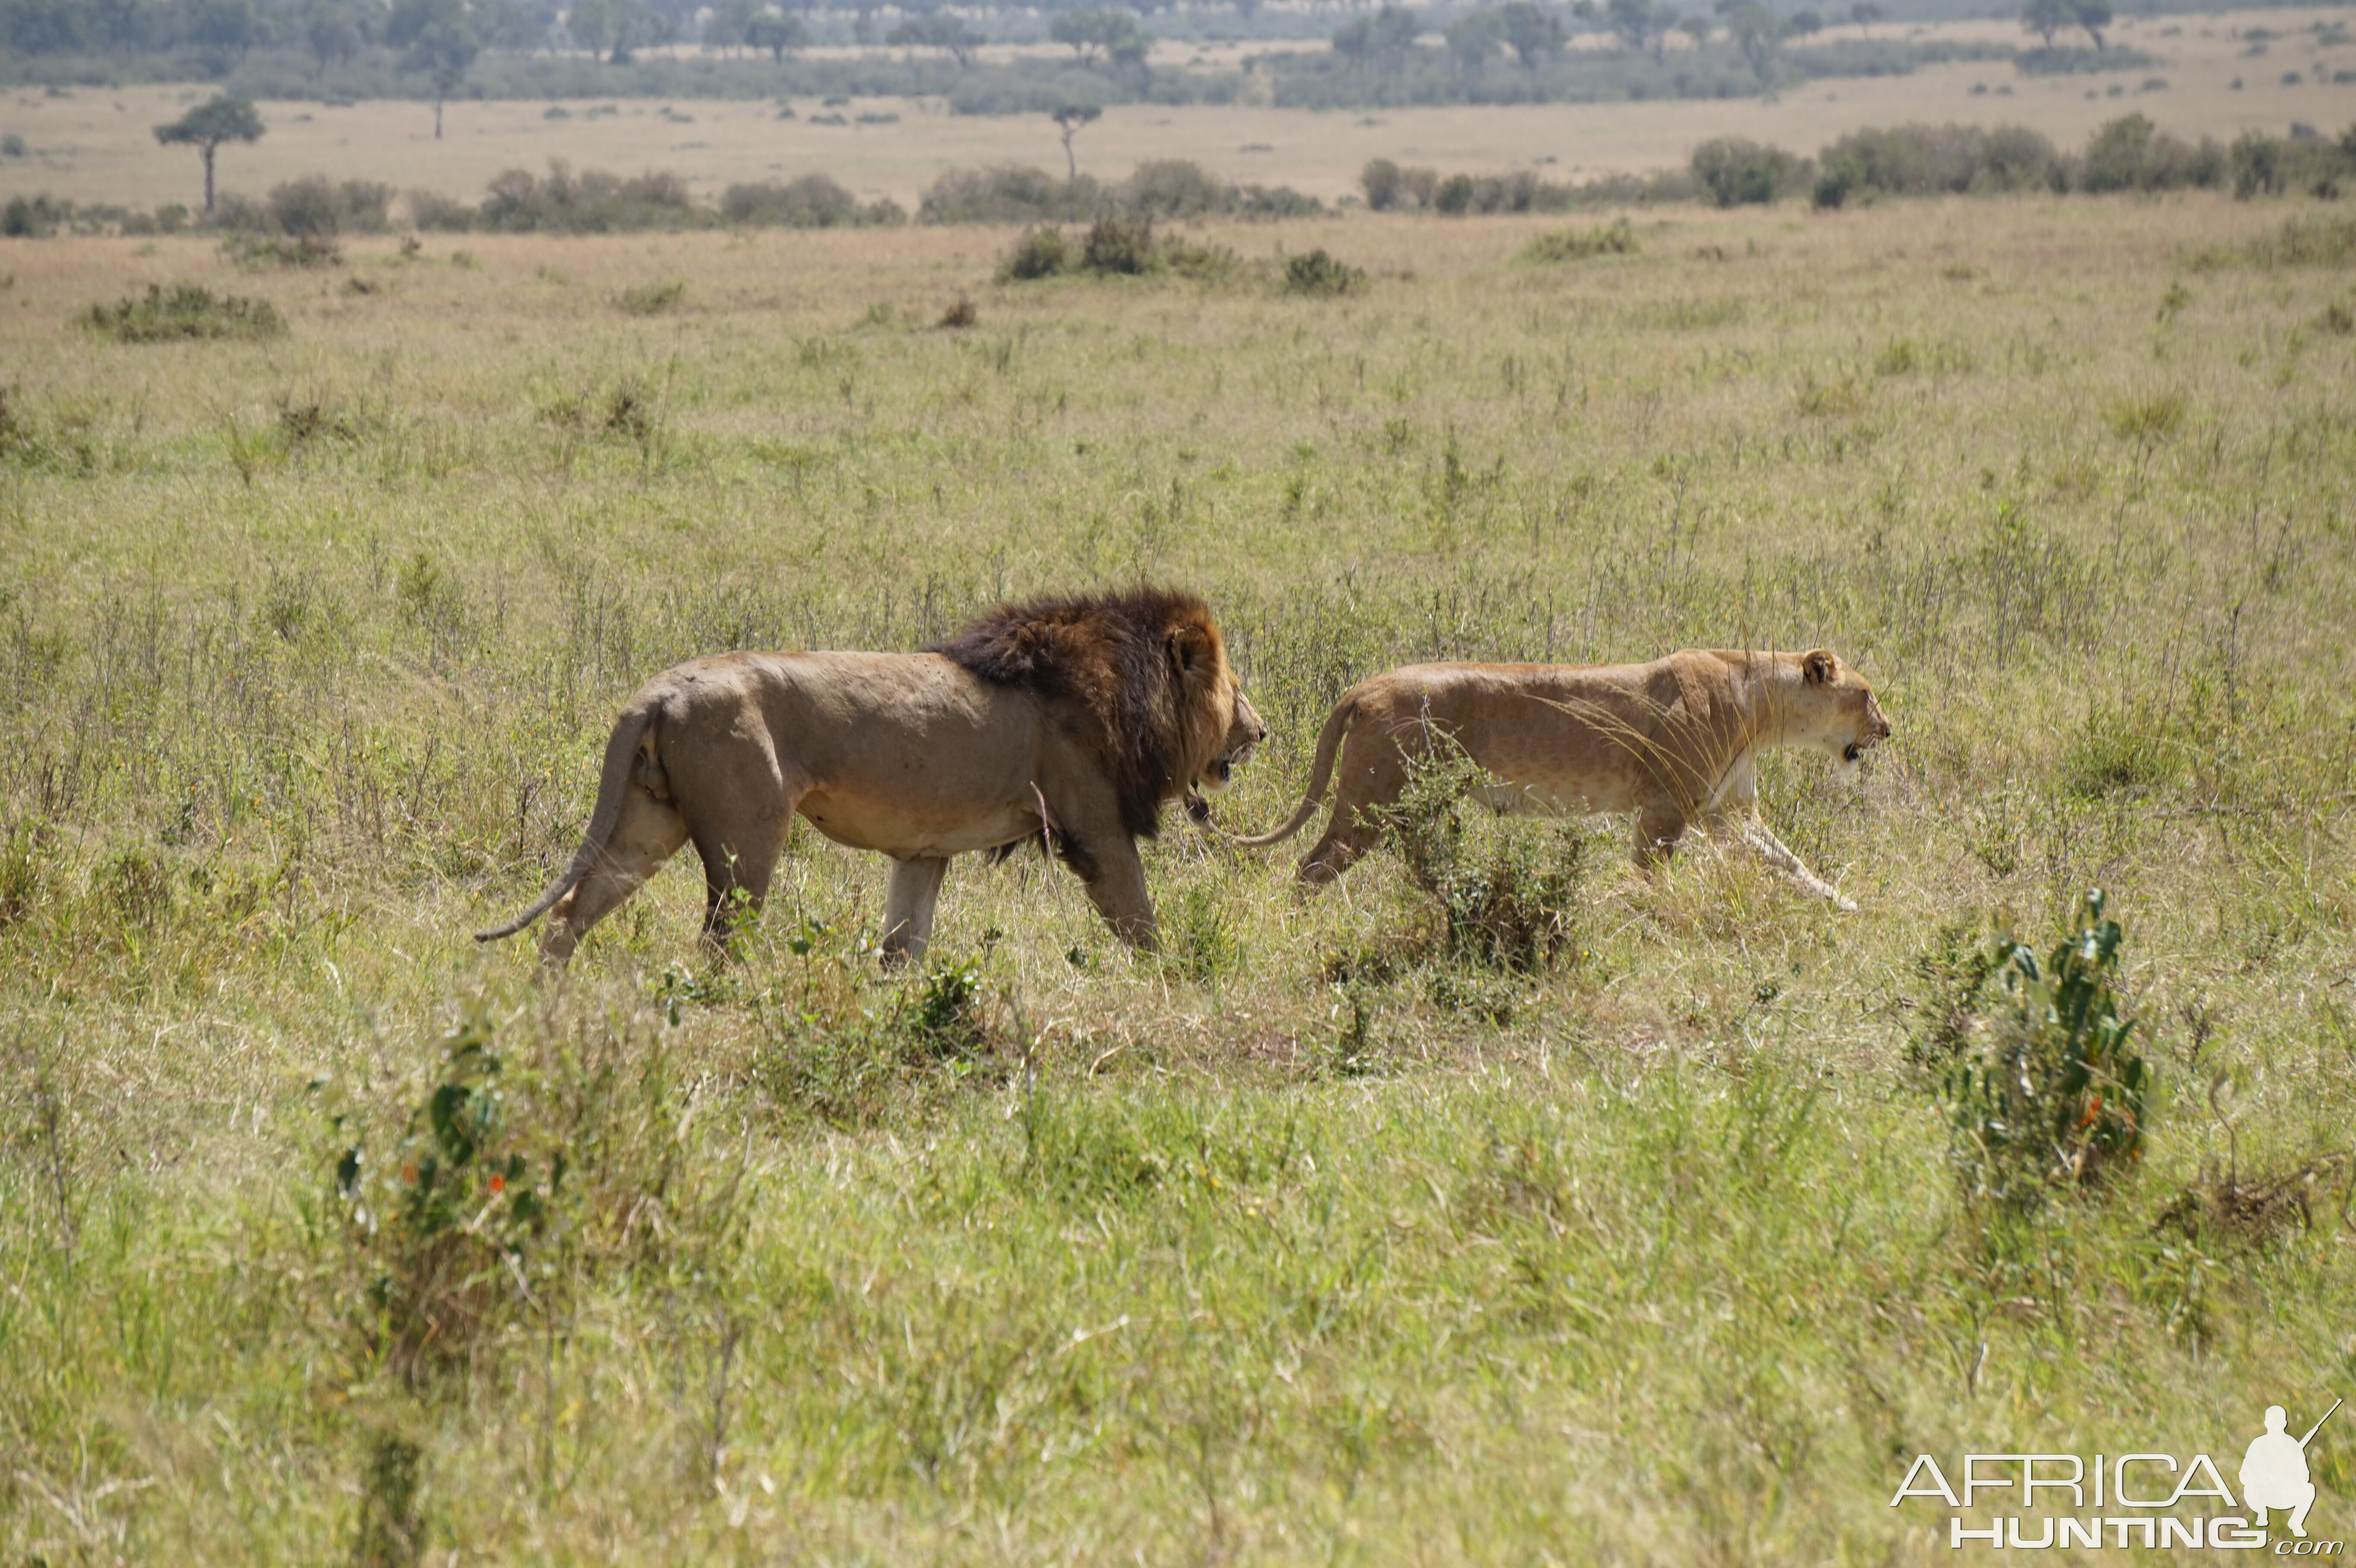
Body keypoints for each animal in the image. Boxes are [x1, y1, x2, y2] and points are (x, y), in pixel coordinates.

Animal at [466, 588, 1263, 965]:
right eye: (1234, 686)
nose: (1261, 732)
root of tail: (657, 692)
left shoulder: (925, 851)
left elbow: (903, 947)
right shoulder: (1095, 827)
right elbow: (1141, 922)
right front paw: (1168, 984)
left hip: (646, 824)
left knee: (571, 914)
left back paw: (546, 1006)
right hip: (747, 834)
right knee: (720, 940)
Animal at [1225, 640, 1884, 904]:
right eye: (1867, 694)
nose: (1889, 730)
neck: (1761, 710)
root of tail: (1364, 686)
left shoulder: (1723, 811)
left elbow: (1788, 860)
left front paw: (1844, 903)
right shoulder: (1665, 807)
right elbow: (1649, 876)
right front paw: (1642, 917)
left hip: (1413, 803)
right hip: (1374, 799)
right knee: (1310, 865)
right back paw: (1302, 925)